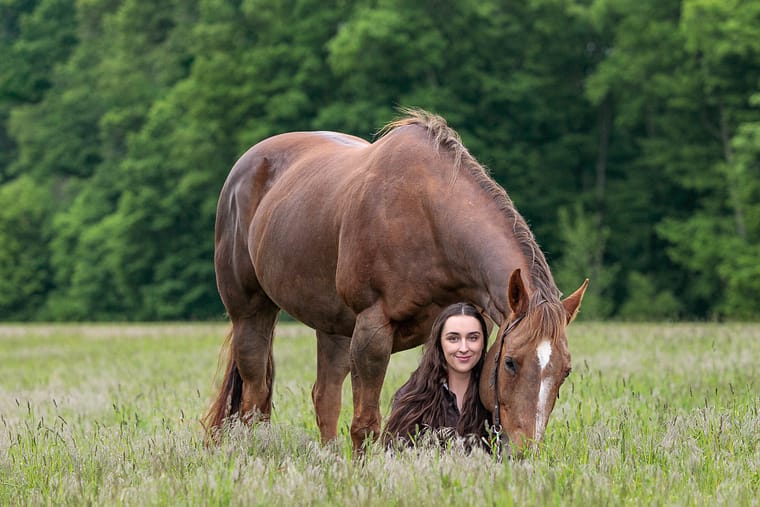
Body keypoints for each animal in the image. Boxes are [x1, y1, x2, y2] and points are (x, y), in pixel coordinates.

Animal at [204, 108, 588, 454]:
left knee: (324, 398)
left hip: (334, 328)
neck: (429, 216)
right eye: (510, 362)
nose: (523, 452)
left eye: (565, 371)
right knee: (253, 402)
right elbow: (365, 425)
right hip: (252, 314)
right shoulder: (372, 331)